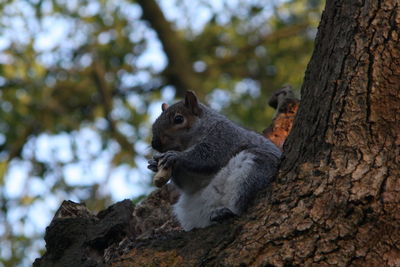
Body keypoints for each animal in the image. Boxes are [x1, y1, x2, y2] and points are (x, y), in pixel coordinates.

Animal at [147, 91, 282, 231]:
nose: (155, 143)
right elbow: (190, 183)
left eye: (178, 119)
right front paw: (154, 164)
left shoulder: (223, 136)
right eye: (154, 123)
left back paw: (227, 212)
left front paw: (176, 156)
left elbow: (209, 156)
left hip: (254, 168)